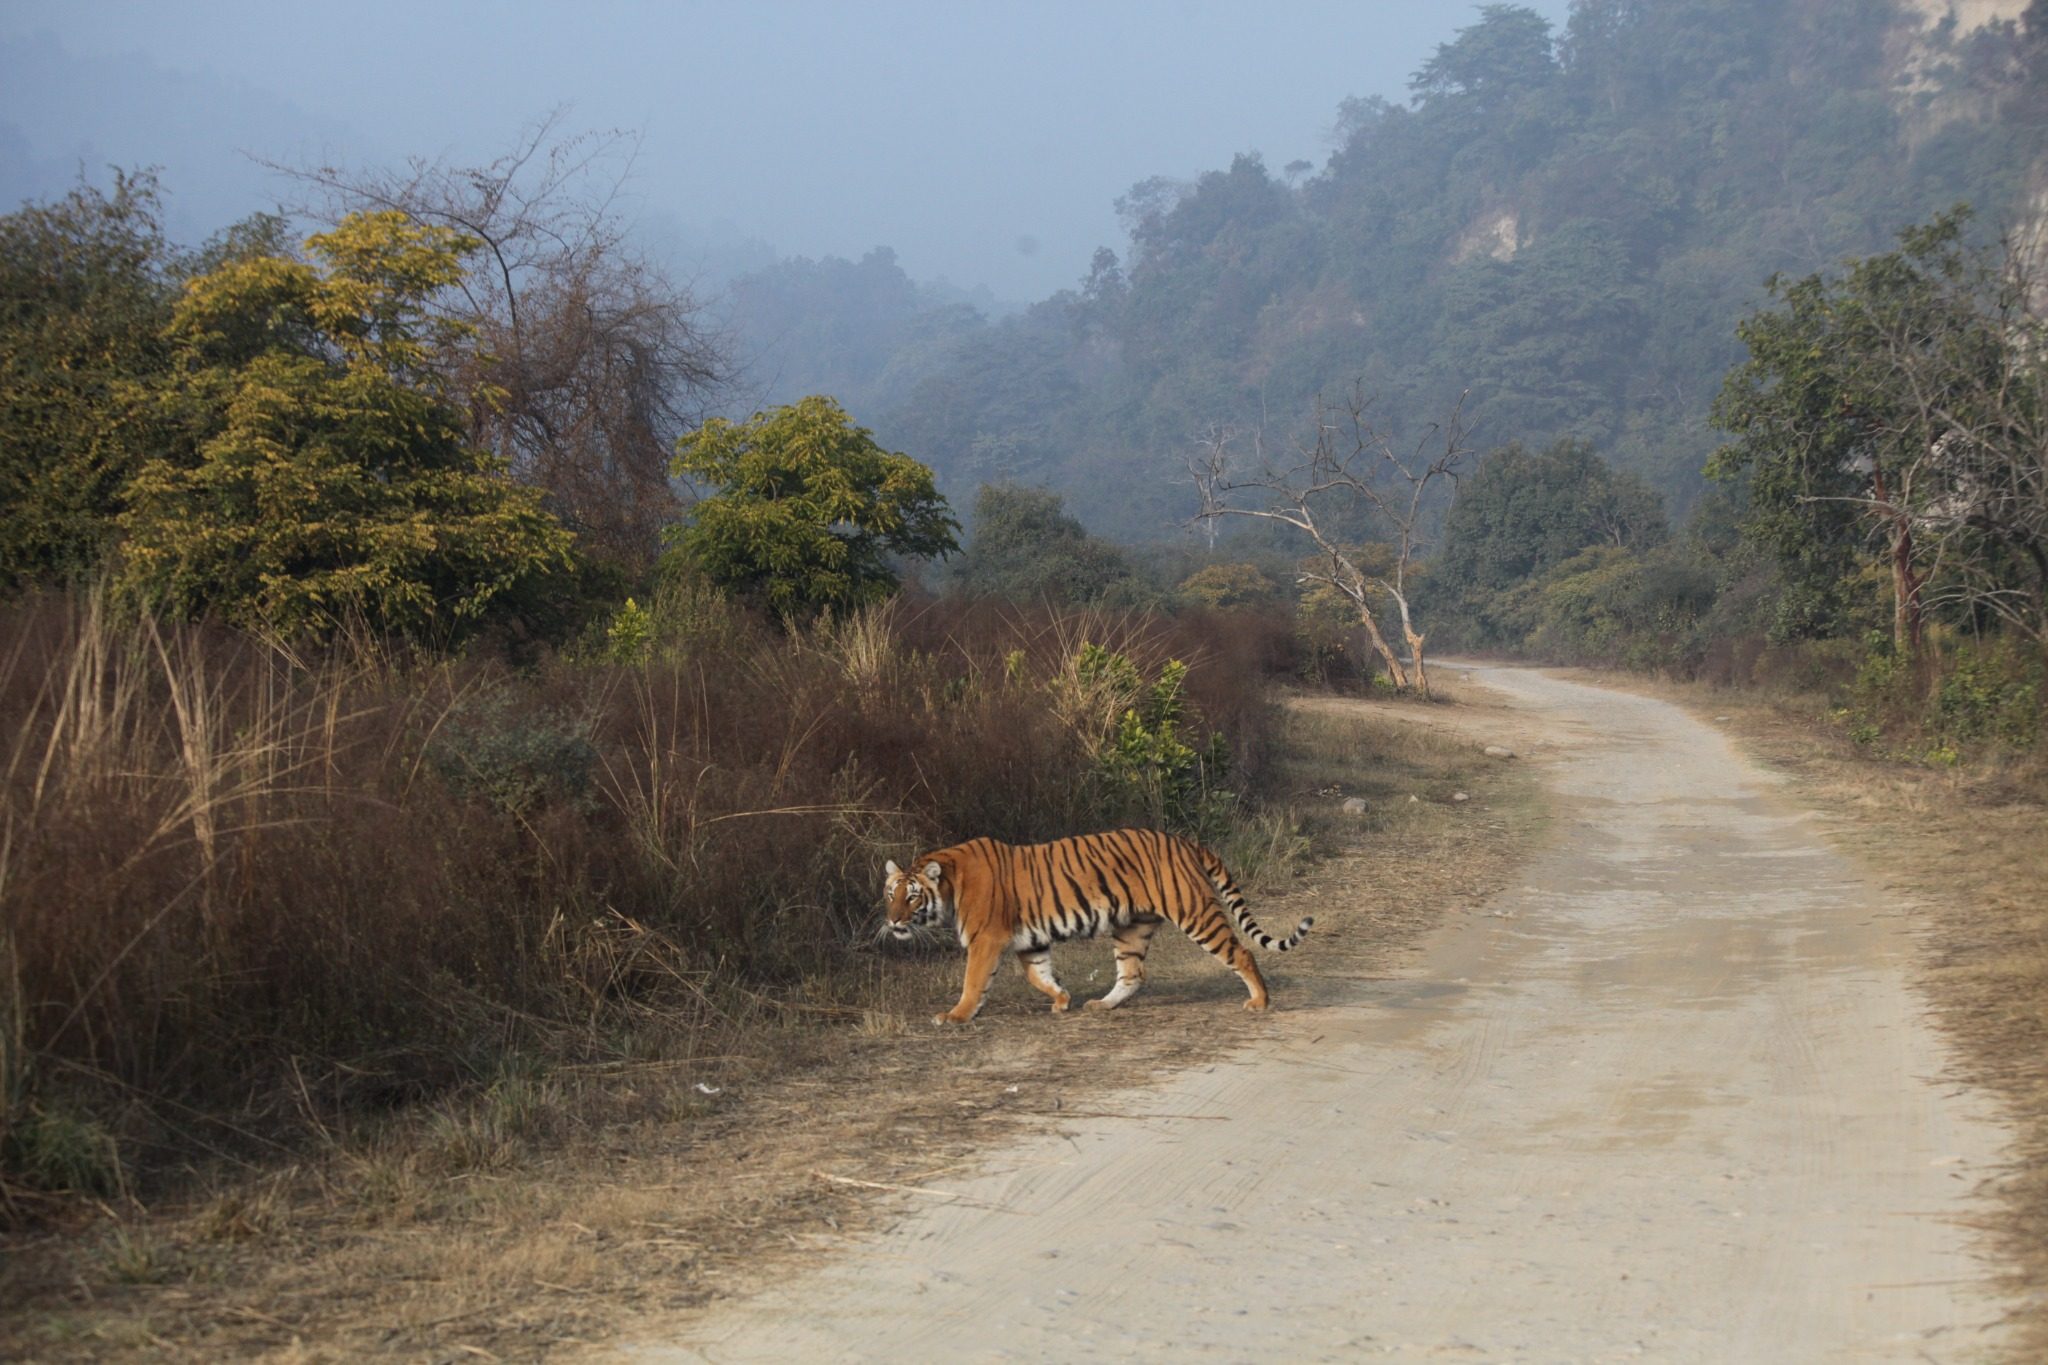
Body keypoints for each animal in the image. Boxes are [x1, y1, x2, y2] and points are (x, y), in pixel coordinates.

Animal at [881, 828, 1312, 1025]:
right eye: (890, 893)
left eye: (913, 897)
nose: (893, 920)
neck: (950, 884)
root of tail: (1183, 840)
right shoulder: (1029, 942)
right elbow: (1038, 975)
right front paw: (1062, 1000)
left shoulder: (986, 940)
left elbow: (973, 982)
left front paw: (956, 1015)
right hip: (1133, 928)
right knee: (1133, 973)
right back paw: (1102, 1005)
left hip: (1195, 913)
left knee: (1241, 951)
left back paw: (1260, 1001)